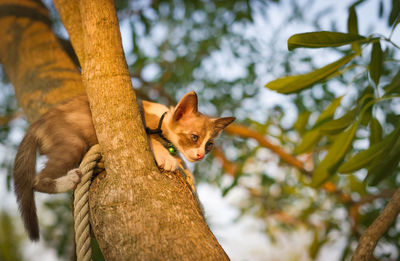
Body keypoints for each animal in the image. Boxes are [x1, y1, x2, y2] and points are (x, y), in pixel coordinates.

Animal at [14, 91, 236, 240]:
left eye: (209, 145)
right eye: (194, 137)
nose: (200, 155)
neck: (161, 121)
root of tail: (37, 124)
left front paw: (192, 183)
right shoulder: (140, 126)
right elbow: (150, 140)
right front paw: (166, 157)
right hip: (72, 142)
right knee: (35, 180)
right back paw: (67, 181)